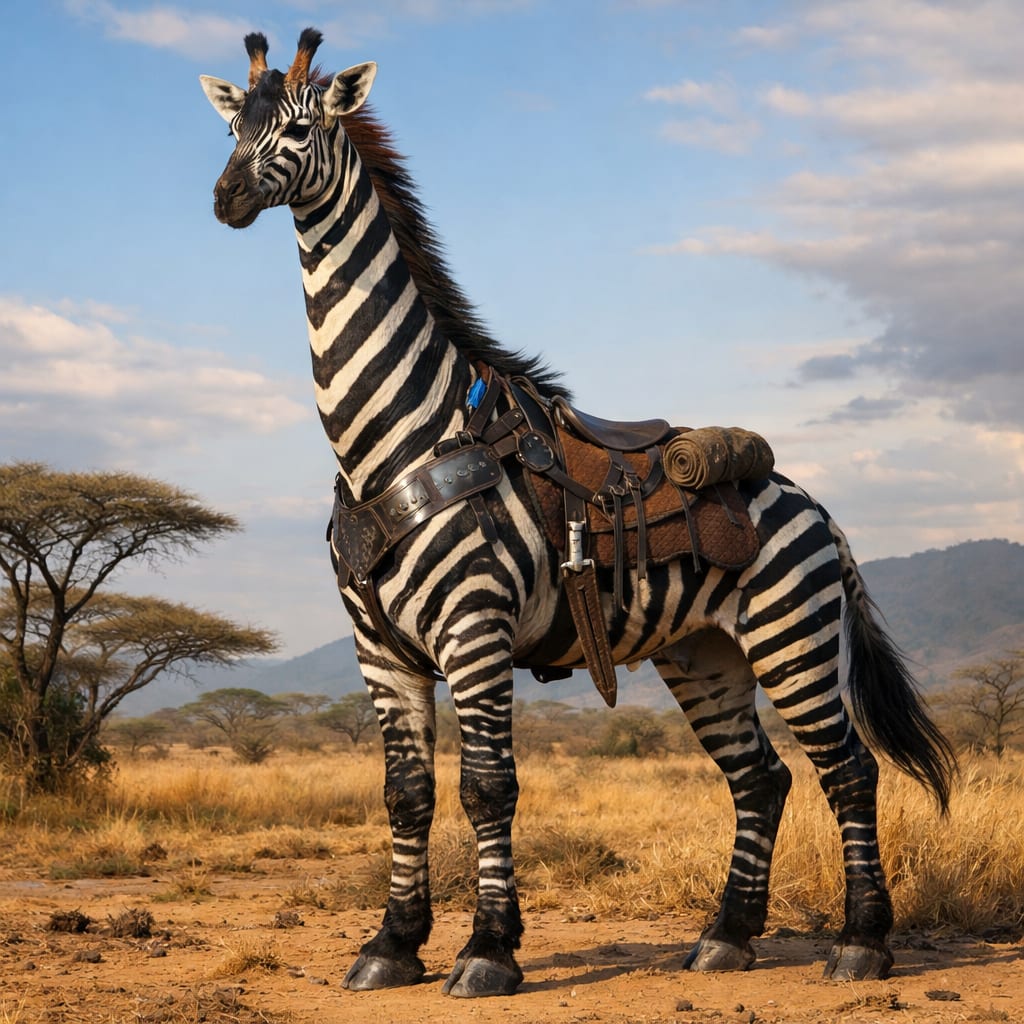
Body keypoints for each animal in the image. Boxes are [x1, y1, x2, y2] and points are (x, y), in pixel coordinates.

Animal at [200, 28, 956, 999]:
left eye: (297, 128)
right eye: (230, 129)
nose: (224, 199)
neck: (393, 436)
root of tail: (816, 505)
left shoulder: (475, 632)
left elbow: (488, 787)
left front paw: (488, 950)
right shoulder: (381, 651)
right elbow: (406, 795)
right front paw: (392, 945)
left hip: (793, 636)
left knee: (848, 769)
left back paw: (861, 943)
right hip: (703, 653)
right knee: (761, 779)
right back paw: (726, 937)